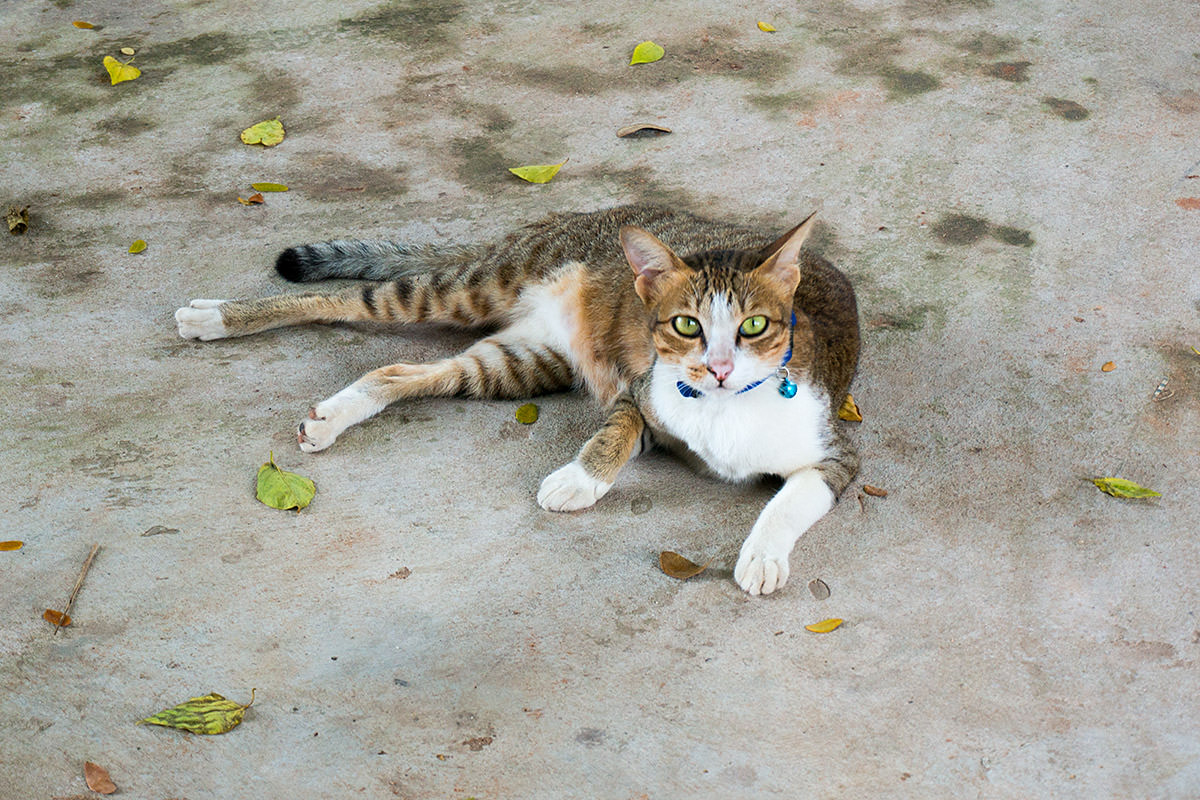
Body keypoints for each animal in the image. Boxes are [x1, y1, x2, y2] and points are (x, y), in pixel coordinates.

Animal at [174, 206, 859, 594]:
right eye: (686, 325)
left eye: (754, 327)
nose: (717, 369)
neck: (724, 408)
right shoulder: (640, 392)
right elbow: (613, 432)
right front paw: (579, 479)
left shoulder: (838, 456)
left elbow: (790, 500)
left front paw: (763, 555)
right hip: (467, 289)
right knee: (347, 300)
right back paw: (216, 316)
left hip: (516, 364)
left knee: (396, 369)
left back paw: (332, 415)